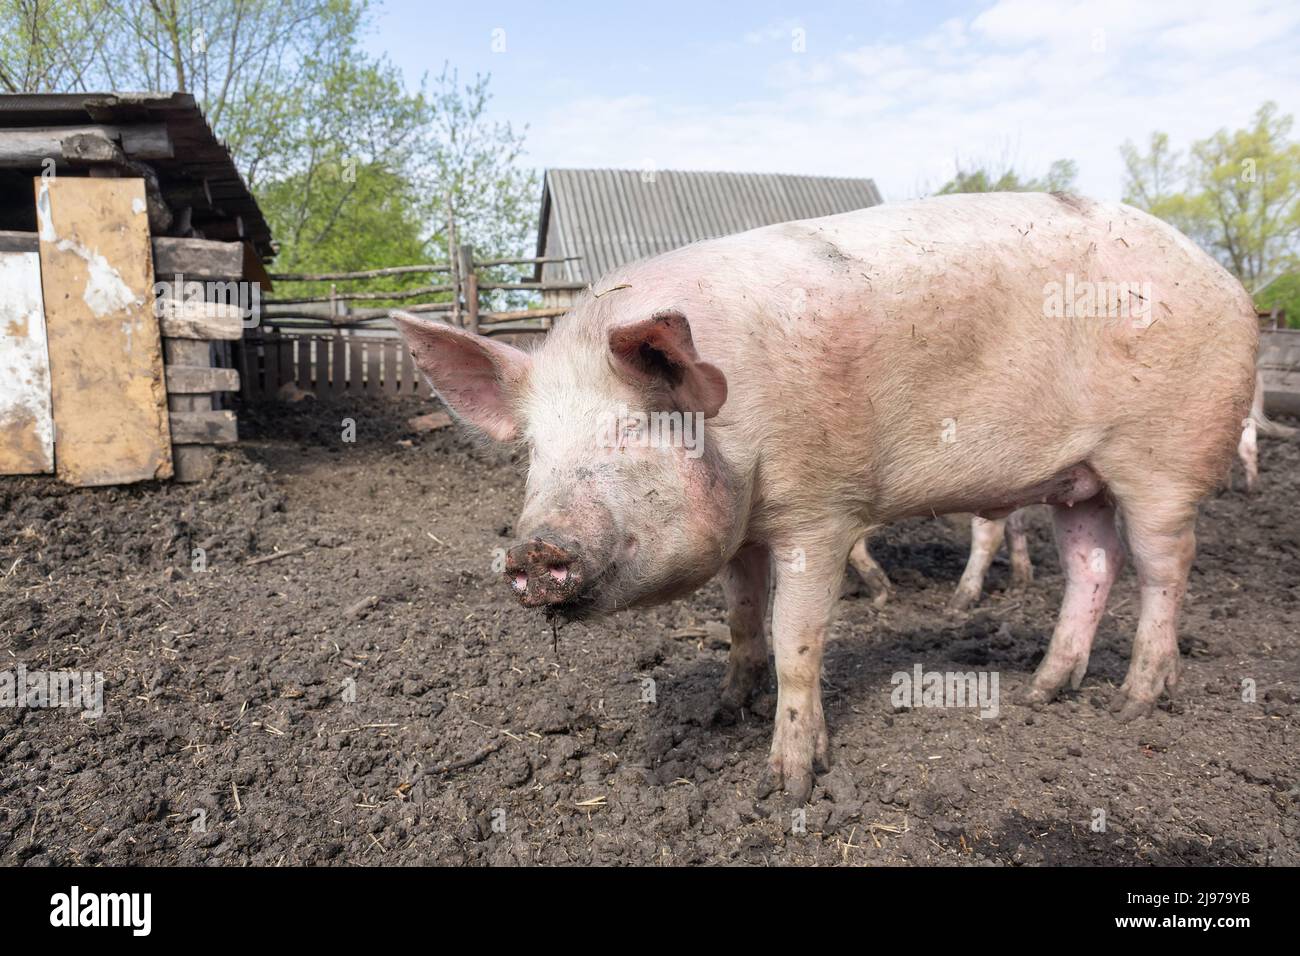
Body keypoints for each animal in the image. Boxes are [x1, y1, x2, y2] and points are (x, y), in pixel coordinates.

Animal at [394, 191, 1257, 803]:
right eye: (535, 450)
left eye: (636, 430)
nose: (535, 546)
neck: (736, 434)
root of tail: (1231, 283)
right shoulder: (744, 531)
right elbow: (741, 619)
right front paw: (722, 712)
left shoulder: (822, 511)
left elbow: (794, 636)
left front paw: (788, 783)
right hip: (1079, 478)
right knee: (1091, 563)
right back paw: (1046, 691)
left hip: (1163, 460)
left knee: (1165, 566)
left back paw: (1133, 704)